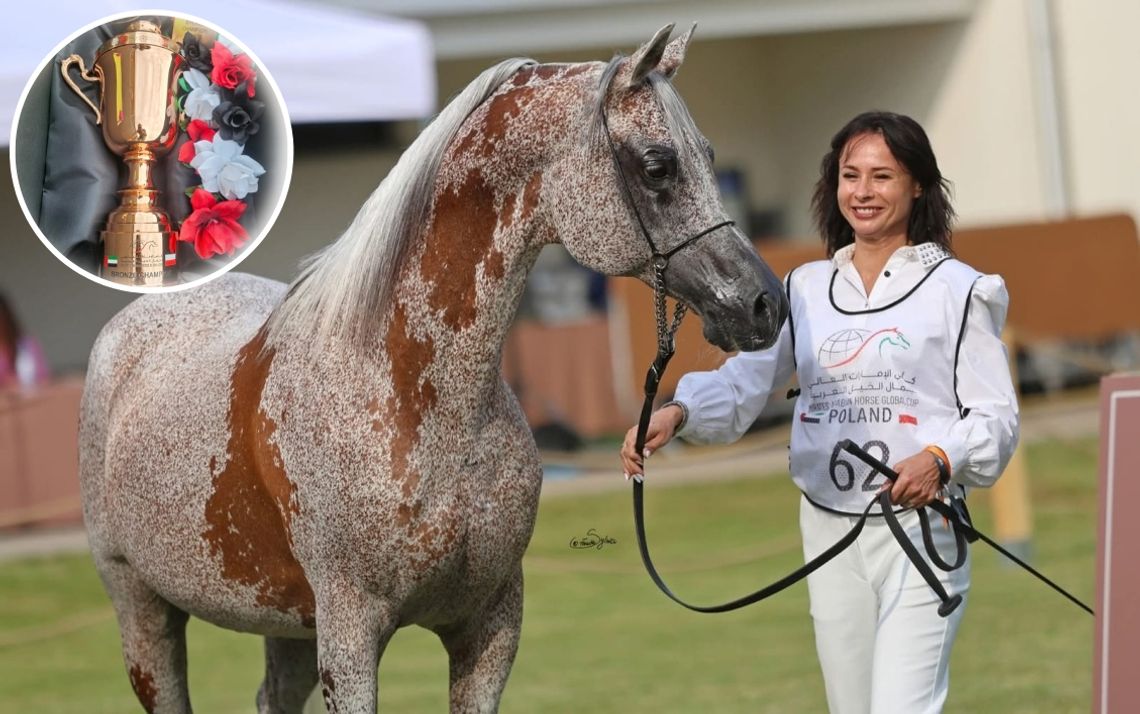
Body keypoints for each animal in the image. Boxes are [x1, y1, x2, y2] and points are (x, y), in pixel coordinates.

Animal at [78, 24, 788, 713]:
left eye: (711, 158)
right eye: (657, 165)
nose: (764, 304)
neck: (413, 400)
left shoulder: (488, 627)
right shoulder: (350, 640)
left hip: (288, 626)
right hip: (143, 612)